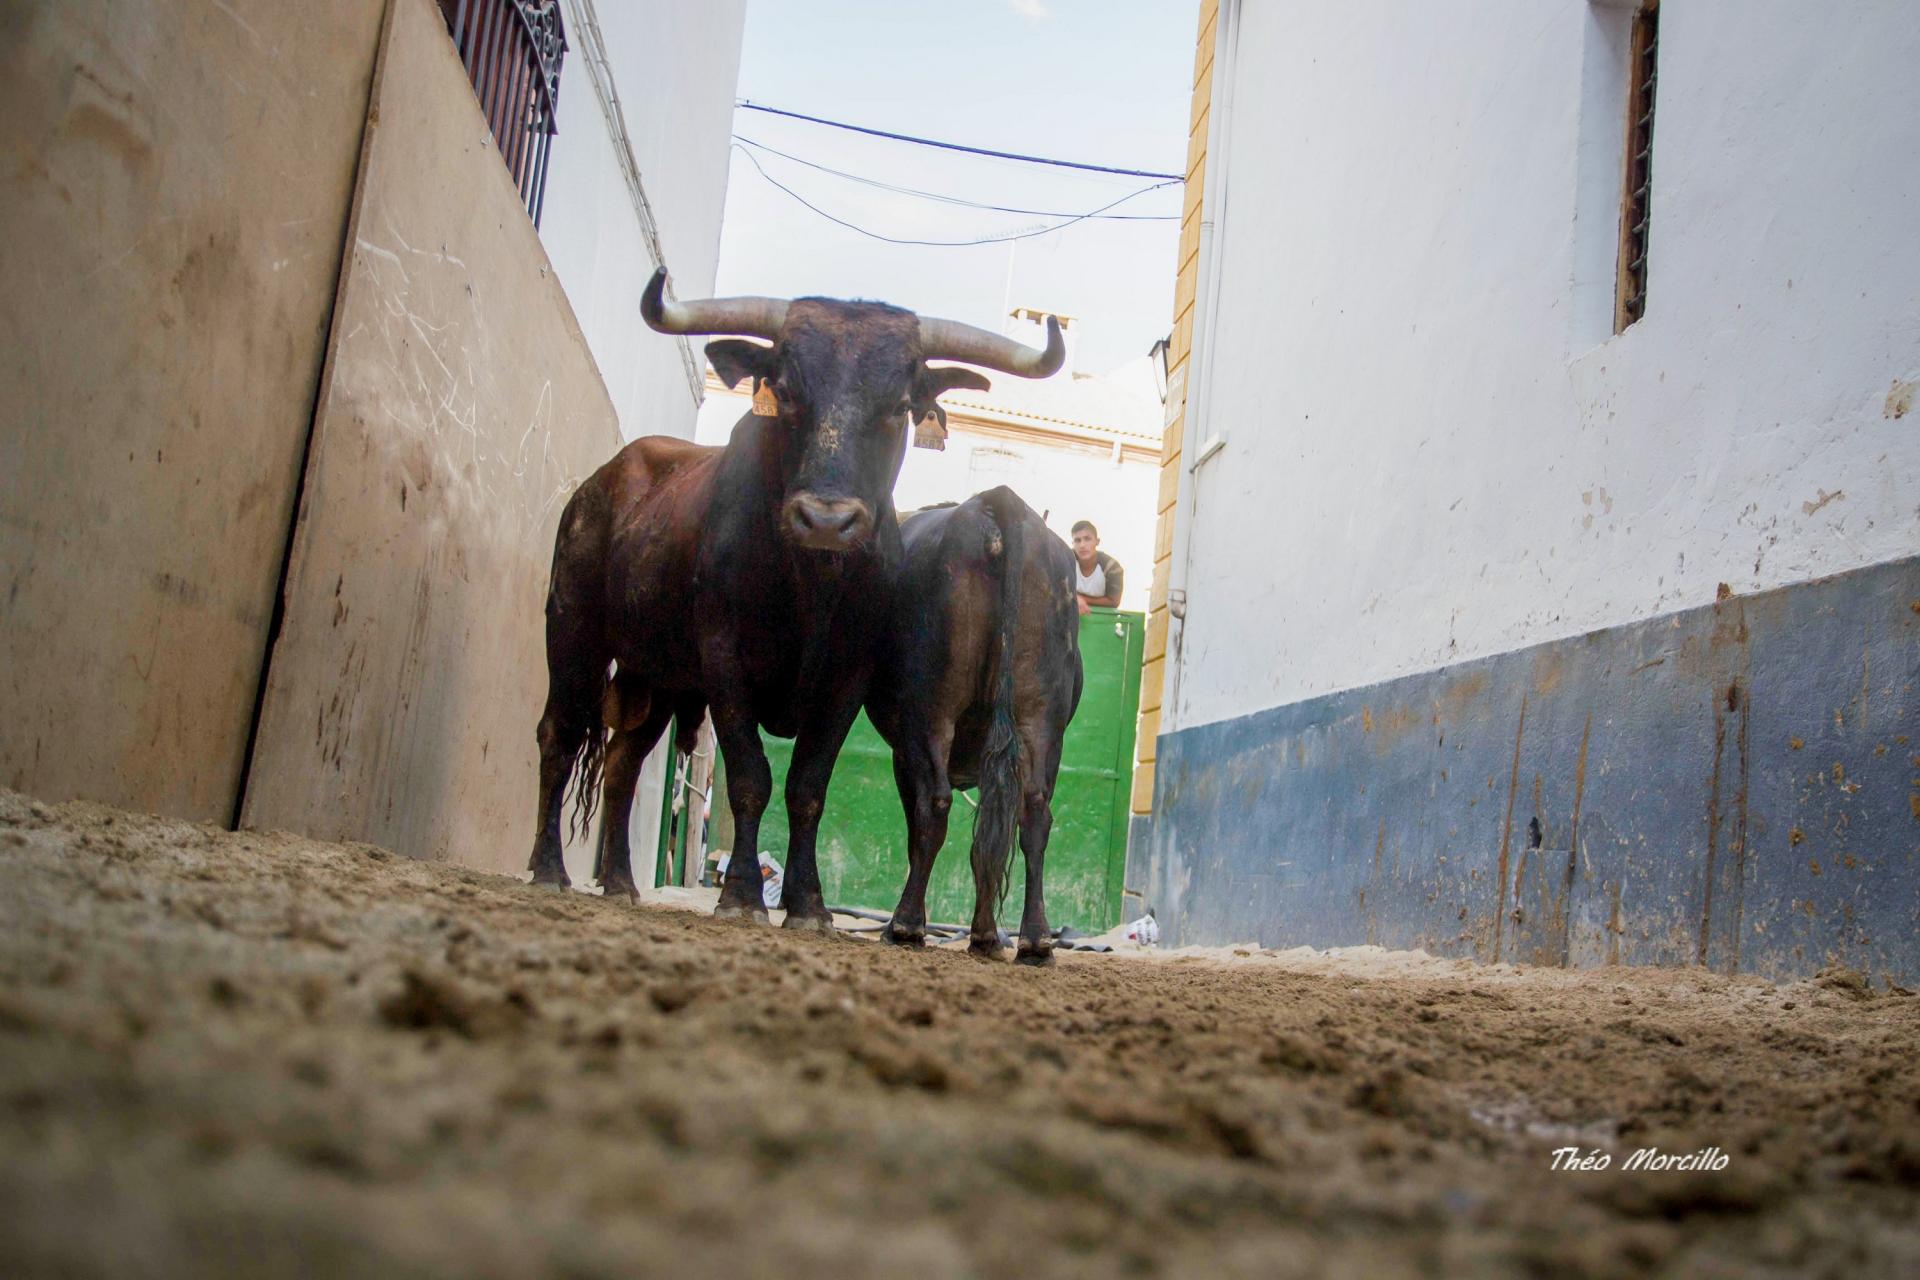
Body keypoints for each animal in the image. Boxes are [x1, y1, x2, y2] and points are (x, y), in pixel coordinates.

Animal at [529, 270, 1067, 932]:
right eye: (784, 392)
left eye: (899, 406)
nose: (826, 520)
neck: (810, 584)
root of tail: (604, 479)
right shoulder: (725, 663)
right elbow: (751, 777)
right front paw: (741, 896)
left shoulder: (846, 679)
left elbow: (808, 786)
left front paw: (807, 904)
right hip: (572, 627)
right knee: (558, 733)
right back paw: (549, 870)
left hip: (655, 672)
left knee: (623, 760)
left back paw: (621, 884)